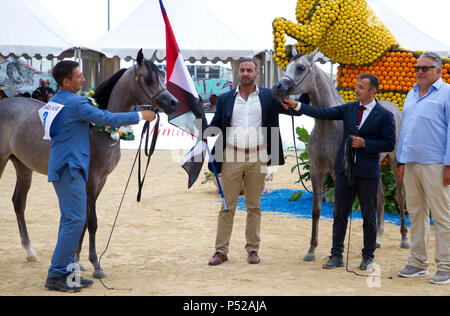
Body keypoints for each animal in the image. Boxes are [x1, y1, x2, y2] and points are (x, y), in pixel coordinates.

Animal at [0, 50, 179, 278]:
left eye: (162, 75)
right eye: (148, 79)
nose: (173, 102)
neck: (99, 128)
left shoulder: (101, 180)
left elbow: (84, 220)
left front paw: (77, 261)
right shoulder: (91, 180)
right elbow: (91, 221)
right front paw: (95, 265)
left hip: (22, 166)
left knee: (19, 202)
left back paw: (30, 251)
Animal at [272, 48, 410, 262]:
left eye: (301, 67)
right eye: (286, 67)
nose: (277, 87)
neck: (327, 124)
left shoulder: (339, 174)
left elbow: (339, 210)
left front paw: (335, 250)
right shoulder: (316, 171)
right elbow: (316, 211)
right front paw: (311, 250)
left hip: (395, 162)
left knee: (400, 196)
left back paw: (404, 238)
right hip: (375, 167)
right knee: (379, 196)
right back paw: (377, 238)